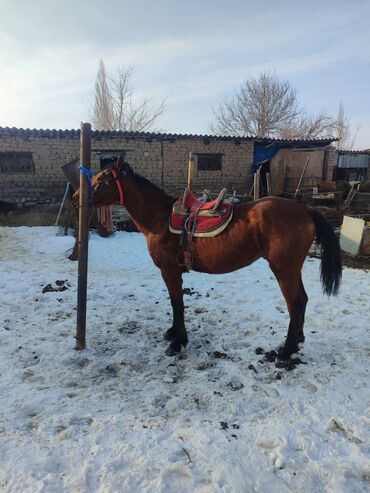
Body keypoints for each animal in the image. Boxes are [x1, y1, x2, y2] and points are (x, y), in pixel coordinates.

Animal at [73, 160, 342, 360]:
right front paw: (173, 333)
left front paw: (179, 342)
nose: (76, 196)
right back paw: (298, 340)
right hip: (293, 269)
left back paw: (286, 351)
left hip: (284, 270)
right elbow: (175, 303)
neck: (159, 218)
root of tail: (304, 210)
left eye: (103, 179)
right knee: (303, 300)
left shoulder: (170, 271)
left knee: (294, 303)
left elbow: (178, 304)